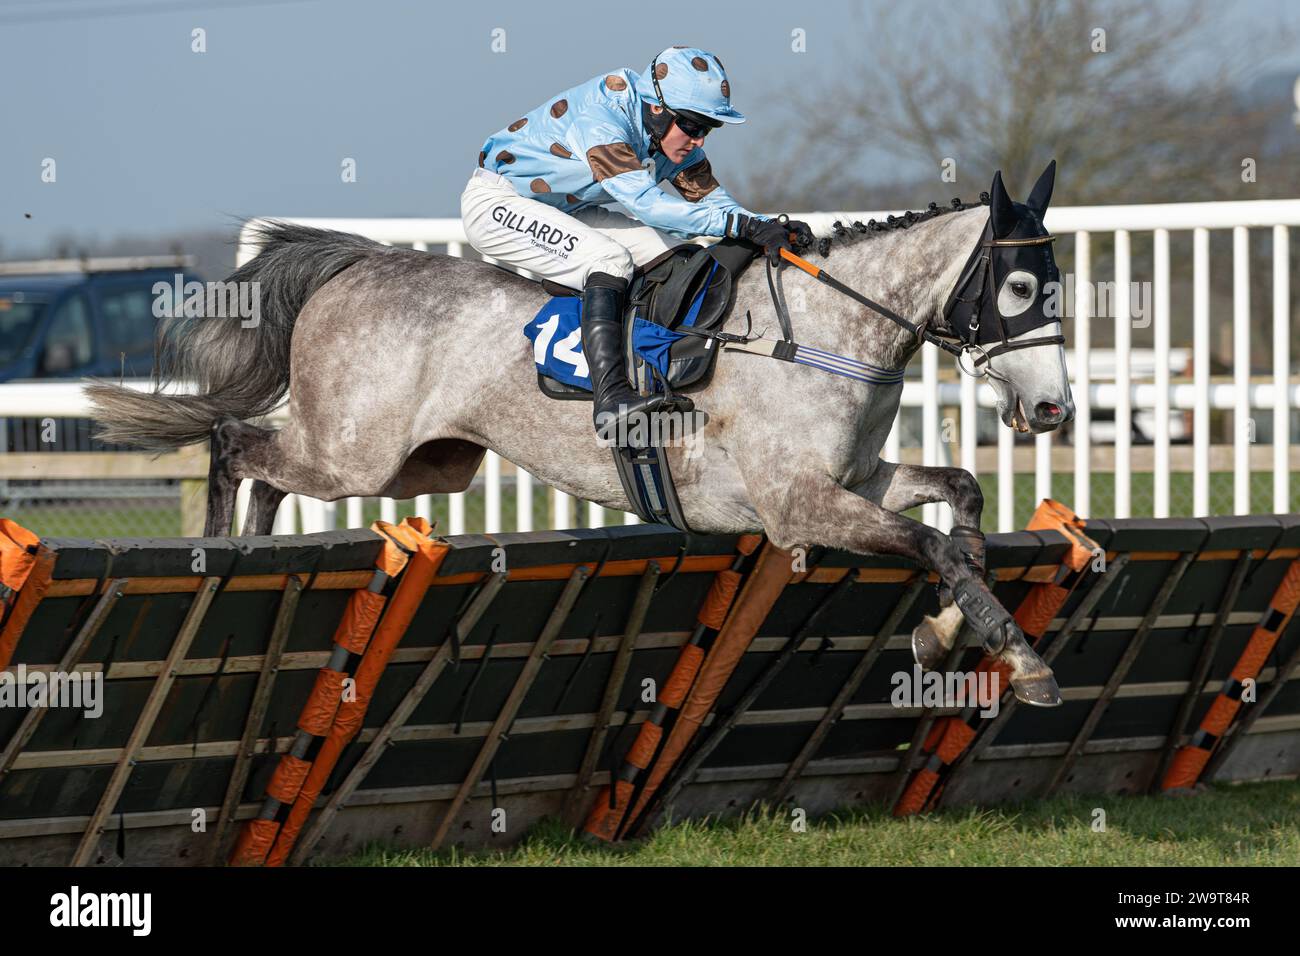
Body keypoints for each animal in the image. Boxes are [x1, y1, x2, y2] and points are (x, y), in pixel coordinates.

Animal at [86, 160, 1071, 707]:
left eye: (1056, 285)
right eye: (1021, 288)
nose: (1053, 409)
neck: (825, 330)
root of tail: (356, 261)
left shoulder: (854, 482)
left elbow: (962, 506)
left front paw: (944, 634)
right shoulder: (797, 506)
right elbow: (931, 545)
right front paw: (1020, 661)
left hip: (421, 466)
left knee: (270, 468)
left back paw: (259, 557)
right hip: (353, 452)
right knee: (235, 445)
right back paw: (223, 553)